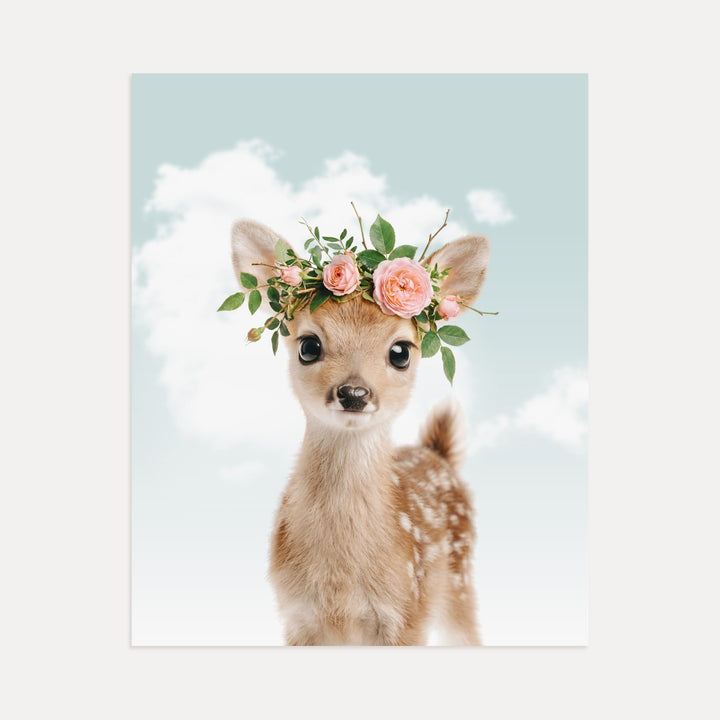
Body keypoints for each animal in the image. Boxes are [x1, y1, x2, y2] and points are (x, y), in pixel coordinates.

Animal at [230, 218, 490, 645]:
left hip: (460, 579)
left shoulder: (407, 613)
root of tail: (437, 453)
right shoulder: (296, 616)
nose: (354, 393)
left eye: (400, 352)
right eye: (308, 346)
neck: (341, 582)